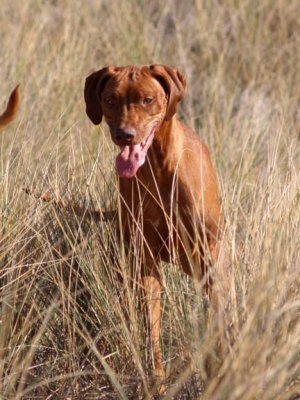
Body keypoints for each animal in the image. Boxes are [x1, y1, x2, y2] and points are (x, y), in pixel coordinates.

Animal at [84, 65, 223, 390]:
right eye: (110, 99)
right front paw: (156, 383)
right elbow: (152, 330)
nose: (125, 135)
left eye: (147, 99)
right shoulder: (145, 260)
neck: (159, 167)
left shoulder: (209, 256)